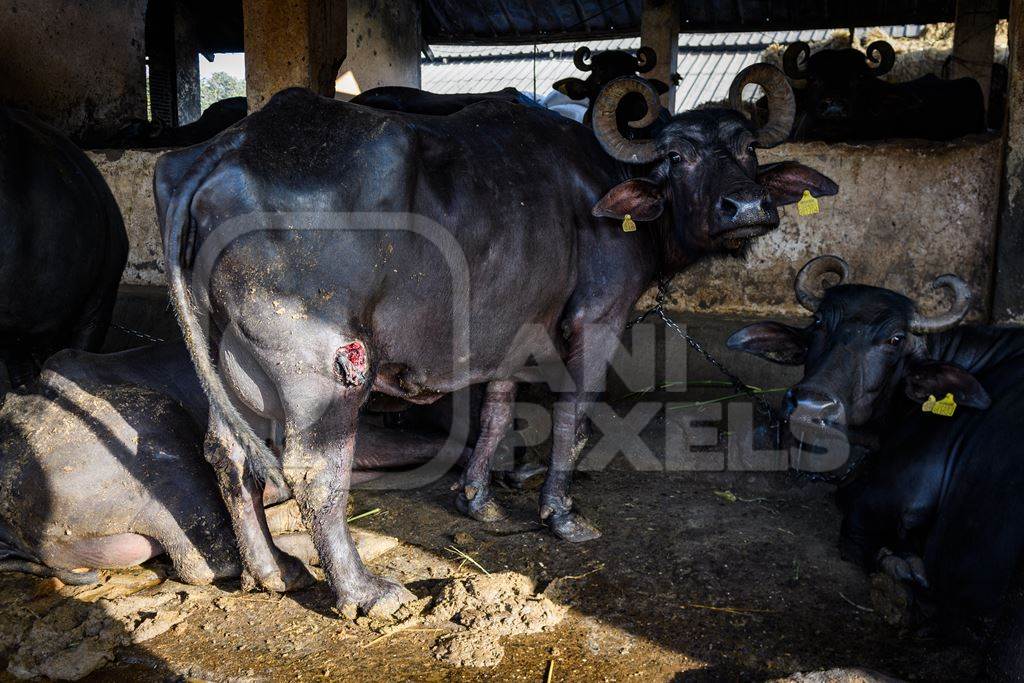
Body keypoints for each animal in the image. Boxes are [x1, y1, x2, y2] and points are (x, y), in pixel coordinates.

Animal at [155, 70, 835, 618]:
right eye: (677, 157)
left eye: (747, 148)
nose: (746, 206)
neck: (603, 186)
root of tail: (223, 153)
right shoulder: (597, 318)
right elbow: (572, 416)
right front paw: (560, 514)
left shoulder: (513, 326)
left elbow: (498, 410)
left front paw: (477, 498)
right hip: (321, 368)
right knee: (314, 468)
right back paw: (364, 592)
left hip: (231, 360)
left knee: (228, 454)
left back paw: (273, 571)